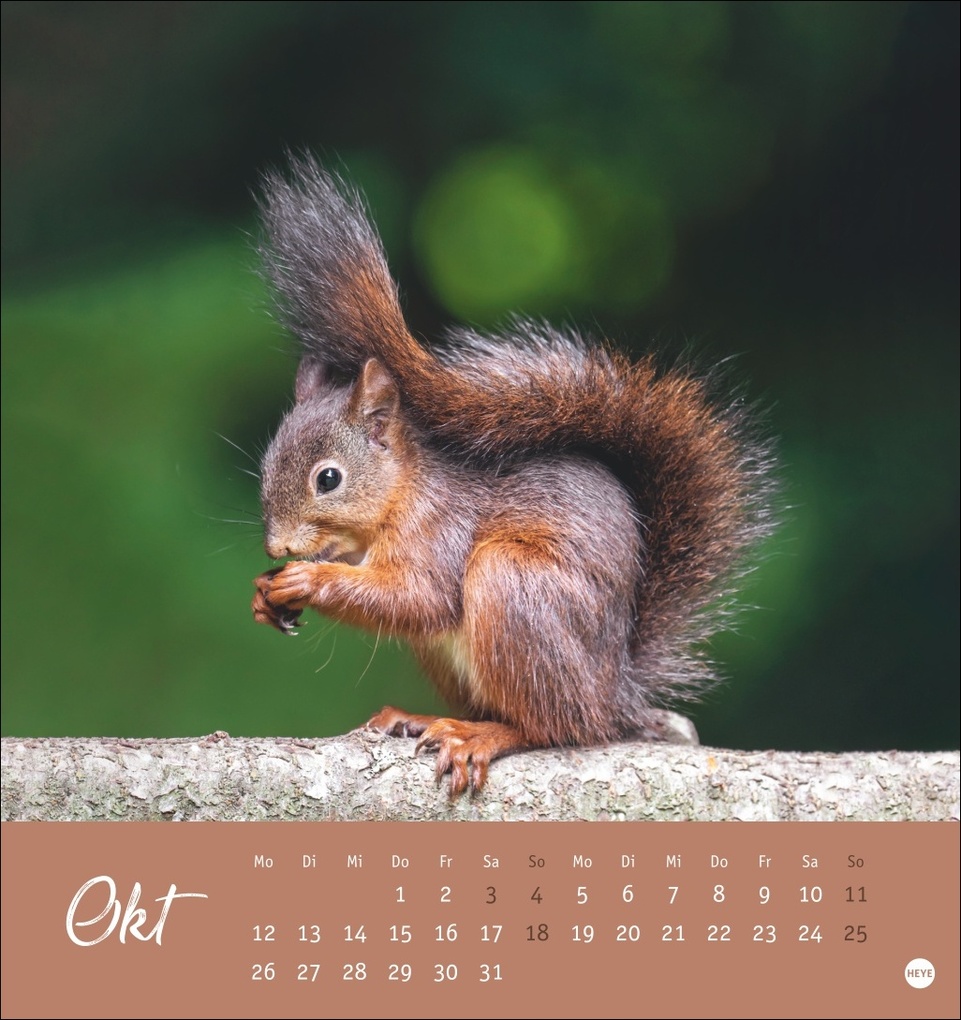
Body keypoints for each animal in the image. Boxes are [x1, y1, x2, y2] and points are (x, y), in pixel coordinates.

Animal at [251, 156, 776, 795]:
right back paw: (421, 717)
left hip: (513, 588)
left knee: (553, 726)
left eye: (328, 479)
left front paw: (307, 579)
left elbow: (419, 597)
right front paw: (265, 593)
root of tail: (614, 695)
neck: (403, 492)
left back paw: (483, 736)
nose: (276, 546)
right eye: (266, 466)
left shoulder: (441, 530)